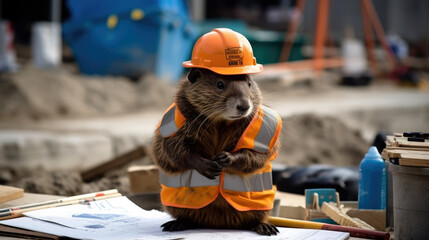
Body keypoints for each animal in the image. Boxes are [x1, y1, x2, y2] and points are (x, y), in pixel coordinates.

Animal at [151, 68, 280, 236]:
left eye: (249, 83)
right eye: (220, 84)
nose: (244, 106)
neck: (221, 122)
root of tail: (218, 223)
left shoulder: (260, 132)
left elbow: (257, 155)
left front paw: (225, 158)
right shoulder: (174, 126)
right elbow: (172, 150)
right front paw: (207, 166)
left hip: (261, 206)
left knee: (254, 219)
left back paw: (265, 227)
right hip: (176, 205)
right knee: (186, 217)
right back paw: (175, 224)